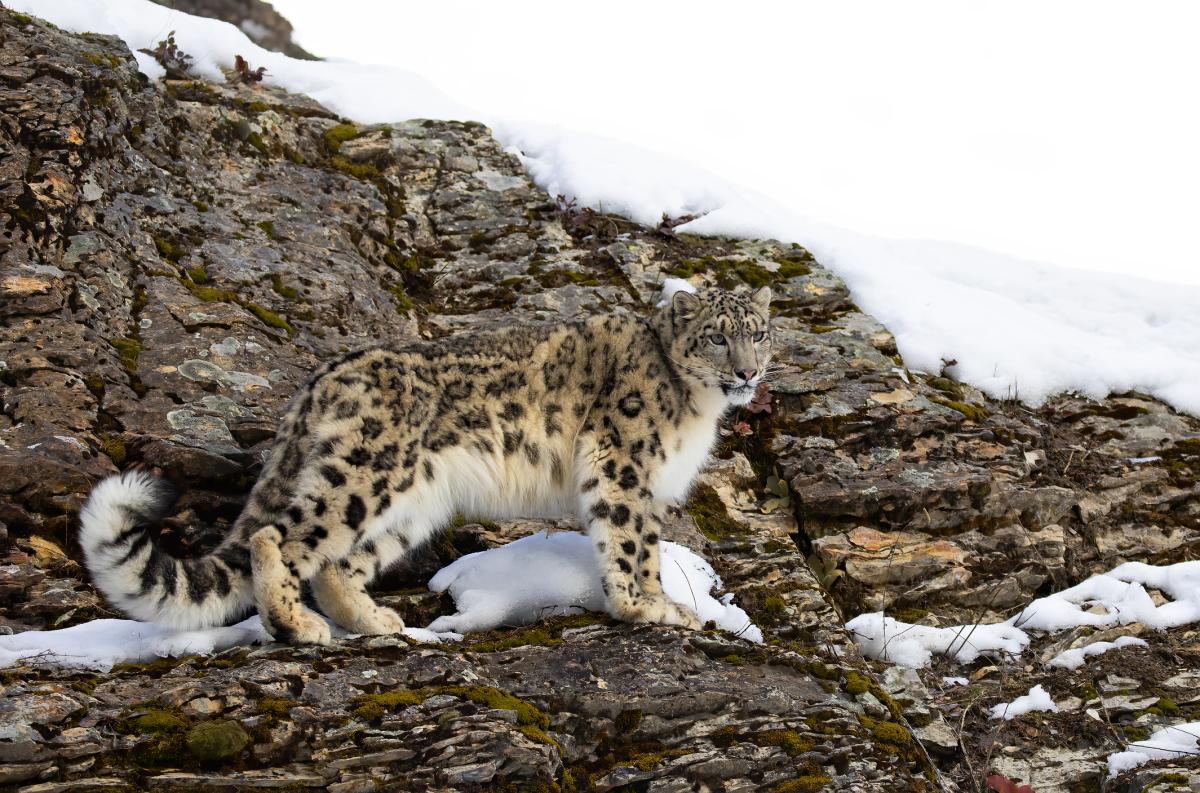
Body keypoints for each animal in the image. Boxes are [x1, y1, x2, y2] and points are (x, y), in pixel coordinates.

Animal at [79, 282, 773, 644]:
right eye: (717, 334)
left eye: (760, 332)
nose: (748, 372)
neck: (698, 406)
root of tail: (323, 378)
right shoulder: (624, 465)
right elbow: (633, 543)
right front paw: (653, 606)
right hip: (365, 473)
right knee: (280, 536)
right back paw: (296, 625)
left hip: (414, 502)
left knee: (338, 563)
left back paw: (375, 621)